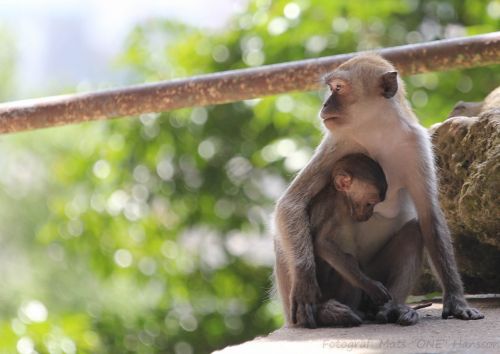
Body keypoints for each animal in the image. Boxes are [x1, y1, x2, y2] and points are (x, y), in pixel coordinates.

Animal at [296, 153, 390, 328]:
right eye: (370, 203)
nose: (369, 214)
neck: (342, 201)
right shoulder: (329, 208)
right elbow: (321, 243)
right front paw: (370, 285)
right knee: (348, 263)